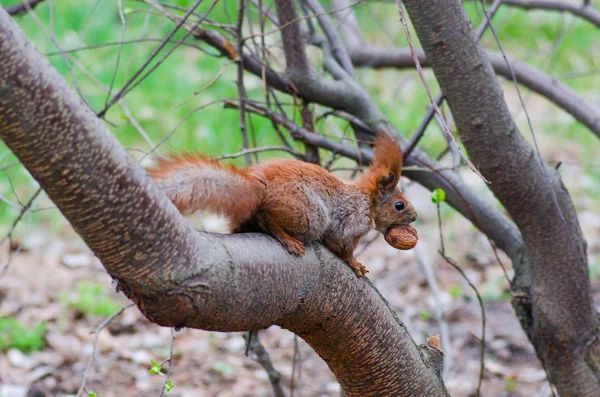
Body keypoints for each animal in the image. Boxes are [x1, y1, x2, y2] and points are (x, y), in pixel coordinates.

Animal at [145, 133, 418, 276]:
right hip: (308, 214)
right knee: (268, 219)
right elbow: (342, 246)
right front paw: (355, 264)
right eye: (400, 205)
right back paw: (287, 239)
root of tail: (260, 186)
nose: (415, 217)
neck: (367, 201)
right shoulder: (351, 221)